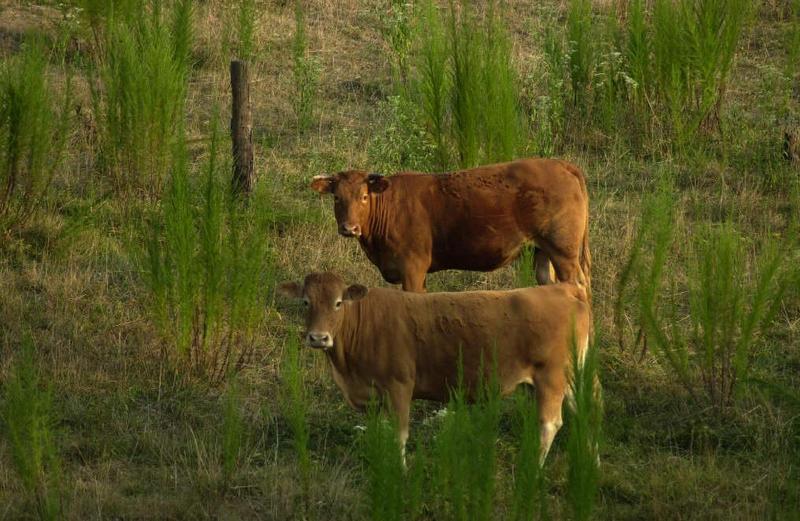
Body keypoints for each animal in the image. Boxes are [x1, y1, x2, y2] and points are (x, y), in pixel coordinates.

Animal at [278, 270, 592, 462]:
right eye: (305, 302)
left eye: (338, 303)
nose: (318, 337)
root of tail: (564, 288)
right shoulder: (373, 397)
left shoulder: (399, 386)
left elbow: (399, 435)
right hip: (569, 378)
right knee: (586, 411)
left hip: (551, 377)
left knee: (550, 424)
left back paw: (533, 471)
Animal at [310, 156, 592, 298]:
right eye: (337, 197)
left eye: (364, 196)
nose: (349, 228)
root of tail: (561, 164)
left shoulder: (412, 268)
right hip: (542, 251)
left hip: (564, 251)